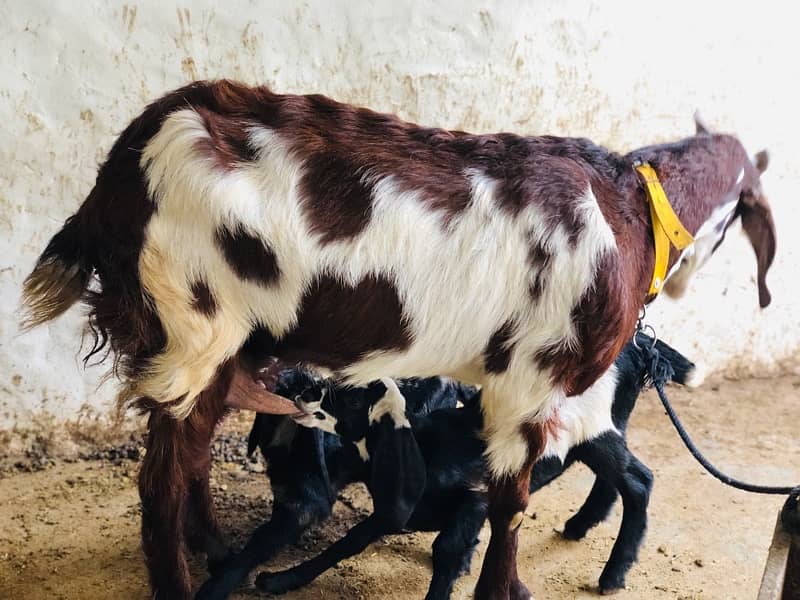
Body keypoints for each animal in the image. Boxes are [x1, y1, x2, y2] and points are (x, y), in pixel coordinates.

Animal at [23, 81, 776, 600]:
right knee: (159, 484)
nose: (682, 290)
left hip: (212, 345)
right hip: (192, 325)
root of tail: (120, 169)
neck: (628, 210)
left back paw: (212, 546)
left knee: (190, 460)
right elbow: (508, 513)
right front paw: (504, 587)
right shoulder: (531, 385)